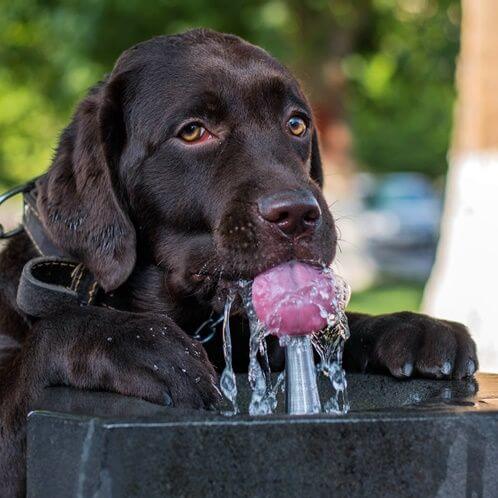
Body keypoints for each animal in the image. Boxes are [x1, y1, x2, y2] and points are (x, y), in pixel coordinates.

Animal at [0, 29, 476, 496]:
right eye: (193, 132)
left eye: (296, 124)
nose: (297, 214)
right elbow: (52, 337)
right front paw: (137, 343)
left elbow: (330, 325)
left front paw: (409, 327)